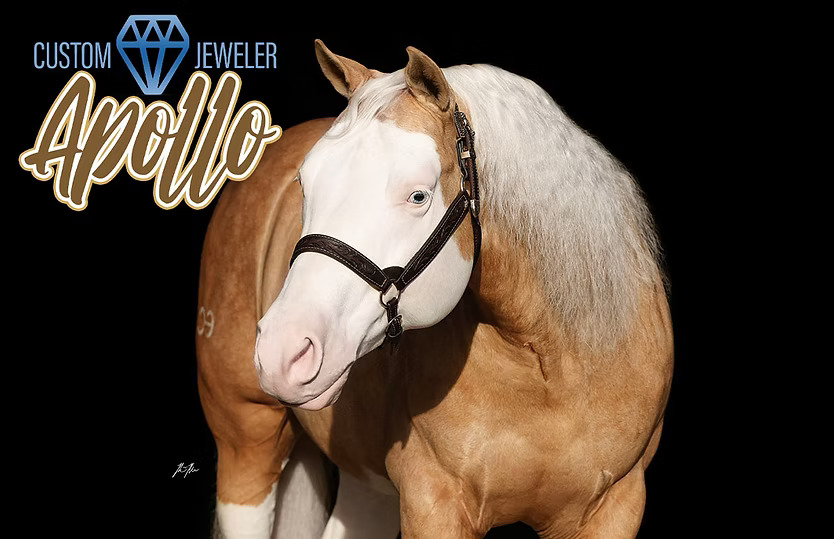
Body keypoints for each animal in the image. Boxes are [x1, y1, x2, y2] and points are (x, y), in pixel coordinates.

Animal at [196, 40, 673, 539]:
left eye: (418, 196)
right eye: (304, 184)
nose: (282, 352)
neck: (551, 366)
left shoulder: (617, 506)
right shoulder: (433, 503)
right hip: (246, 446)